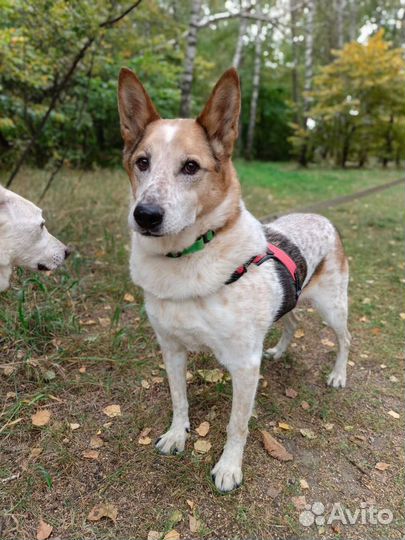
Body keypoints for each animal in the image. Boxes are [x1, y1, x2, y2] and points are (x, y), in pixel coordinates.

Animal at [117, 68, 350, 494]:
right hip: (292, 302)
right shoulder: (171, 348)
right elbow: (179, 399)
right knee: (291, 320)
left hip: (333, 308)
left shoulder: (243, 365)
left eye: (190, 167)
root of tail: (322, 217)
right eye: (142, 162)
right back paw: (279, 351)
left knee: (345, 340)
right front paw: (176, 434)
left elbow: (236, 425)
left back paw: (338, 375)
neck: (186, 259)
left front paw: (229, 467)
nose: (146, 215)